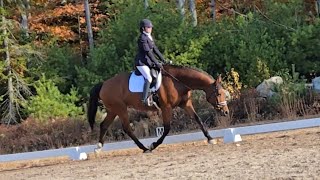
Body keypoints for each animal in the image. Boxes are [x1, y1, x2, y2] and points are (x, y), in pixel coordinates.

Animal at [86, 64, 229, 153]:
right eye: (218, 93)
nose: (226, 112)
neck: (177, 81)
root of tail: (104, 84)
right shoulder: (166, 107)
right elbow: (167, 128)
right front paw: (154, 144)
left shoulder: (186, 104)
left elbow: (198, 120)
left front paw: (210, 139)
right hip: (120, 109)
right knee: (127, 128)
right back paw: (145, 148)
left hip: (113, 110)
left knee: (104, 125)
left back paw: (98, 147)